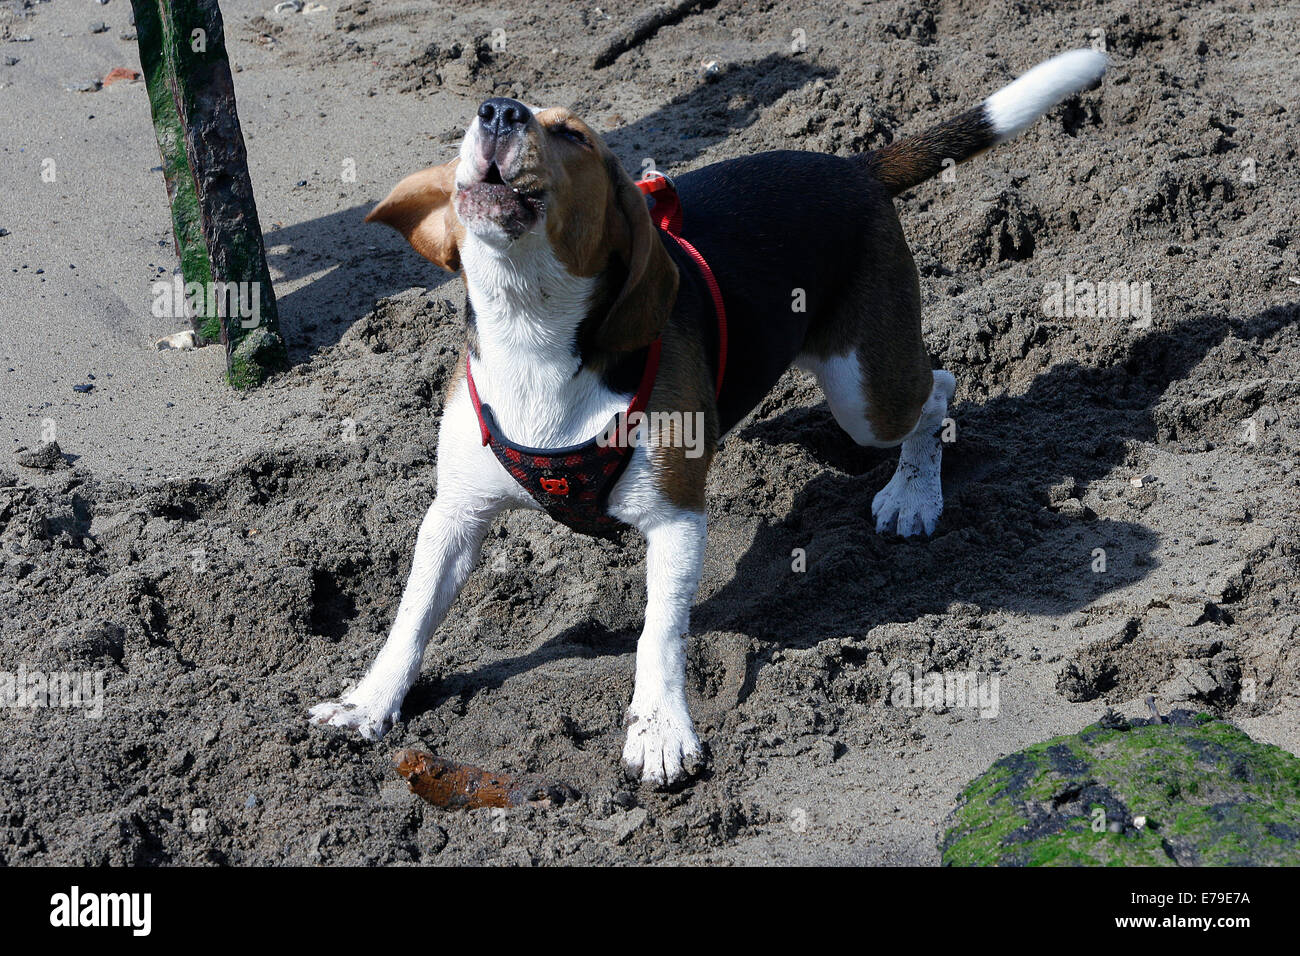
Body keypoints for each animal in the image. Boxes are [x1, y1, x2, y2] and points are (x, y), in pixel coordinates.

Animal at [306, 48, 1107, 790]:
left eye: (572, 134)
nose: (498, 111)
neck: (531, 335)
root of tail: (852, 168)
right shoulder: (456, 513)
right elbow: (411, 616)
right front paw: (368, 703)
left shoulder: (676, 518)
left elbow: (658, 634)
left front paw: (660, 731)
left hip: (864, 393)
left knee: (936, 390)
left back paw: (913, 496)